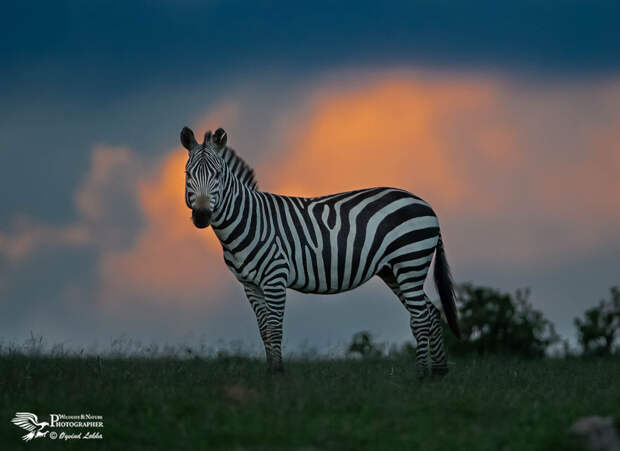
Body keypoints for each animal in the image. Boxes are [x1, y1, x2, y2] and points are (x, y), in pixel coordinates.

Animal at [182, 126, 458, 374]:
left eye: (218, 174)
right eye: (187, 174)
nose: (202, 216)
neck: (251, 221)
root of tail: (425, 204)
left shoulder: (275, 278)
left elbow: (275, 328)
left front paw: (278, 374)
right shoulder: (250, 285)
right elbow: (264, 330)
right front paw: (270, 373)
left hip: (409, 261)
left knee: (420, 317)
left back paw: (421, 374)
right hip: (395, 270)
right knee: (431, 313)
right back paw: (439, 372)